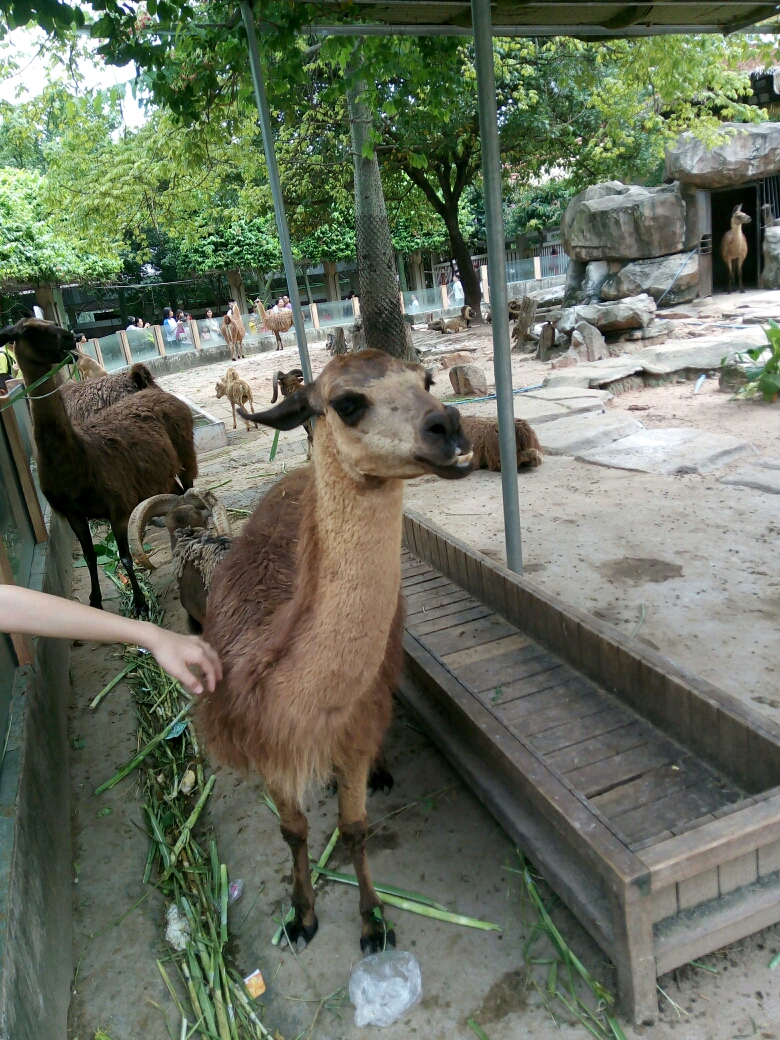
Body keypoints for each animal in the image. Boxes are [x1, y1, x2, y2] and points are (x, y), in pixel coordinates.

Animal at [3, 320, 198, 611]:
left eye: (52, 324)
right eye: (28, 331)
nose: (69, 337)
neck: (80, 459)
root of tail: (150, 387)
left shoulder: (117, 506)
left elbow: (125, 556)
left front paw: (140, 602)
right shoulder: (73, 513)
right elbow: (90, 557)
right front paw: (95, 600)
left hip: (184, 451)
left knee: (187, 486)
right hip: (158, 472)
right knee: (173, 492)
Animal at [198, 353, 474, 952]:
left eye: (426, 380)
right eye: (347, 403)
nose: (449, 425)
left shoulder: (352, 724)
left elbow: (354, 828)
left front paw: (372, 922)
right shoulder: (269, 747)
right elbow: (293, 831)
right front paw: (301, 916)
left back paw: (381, 769)